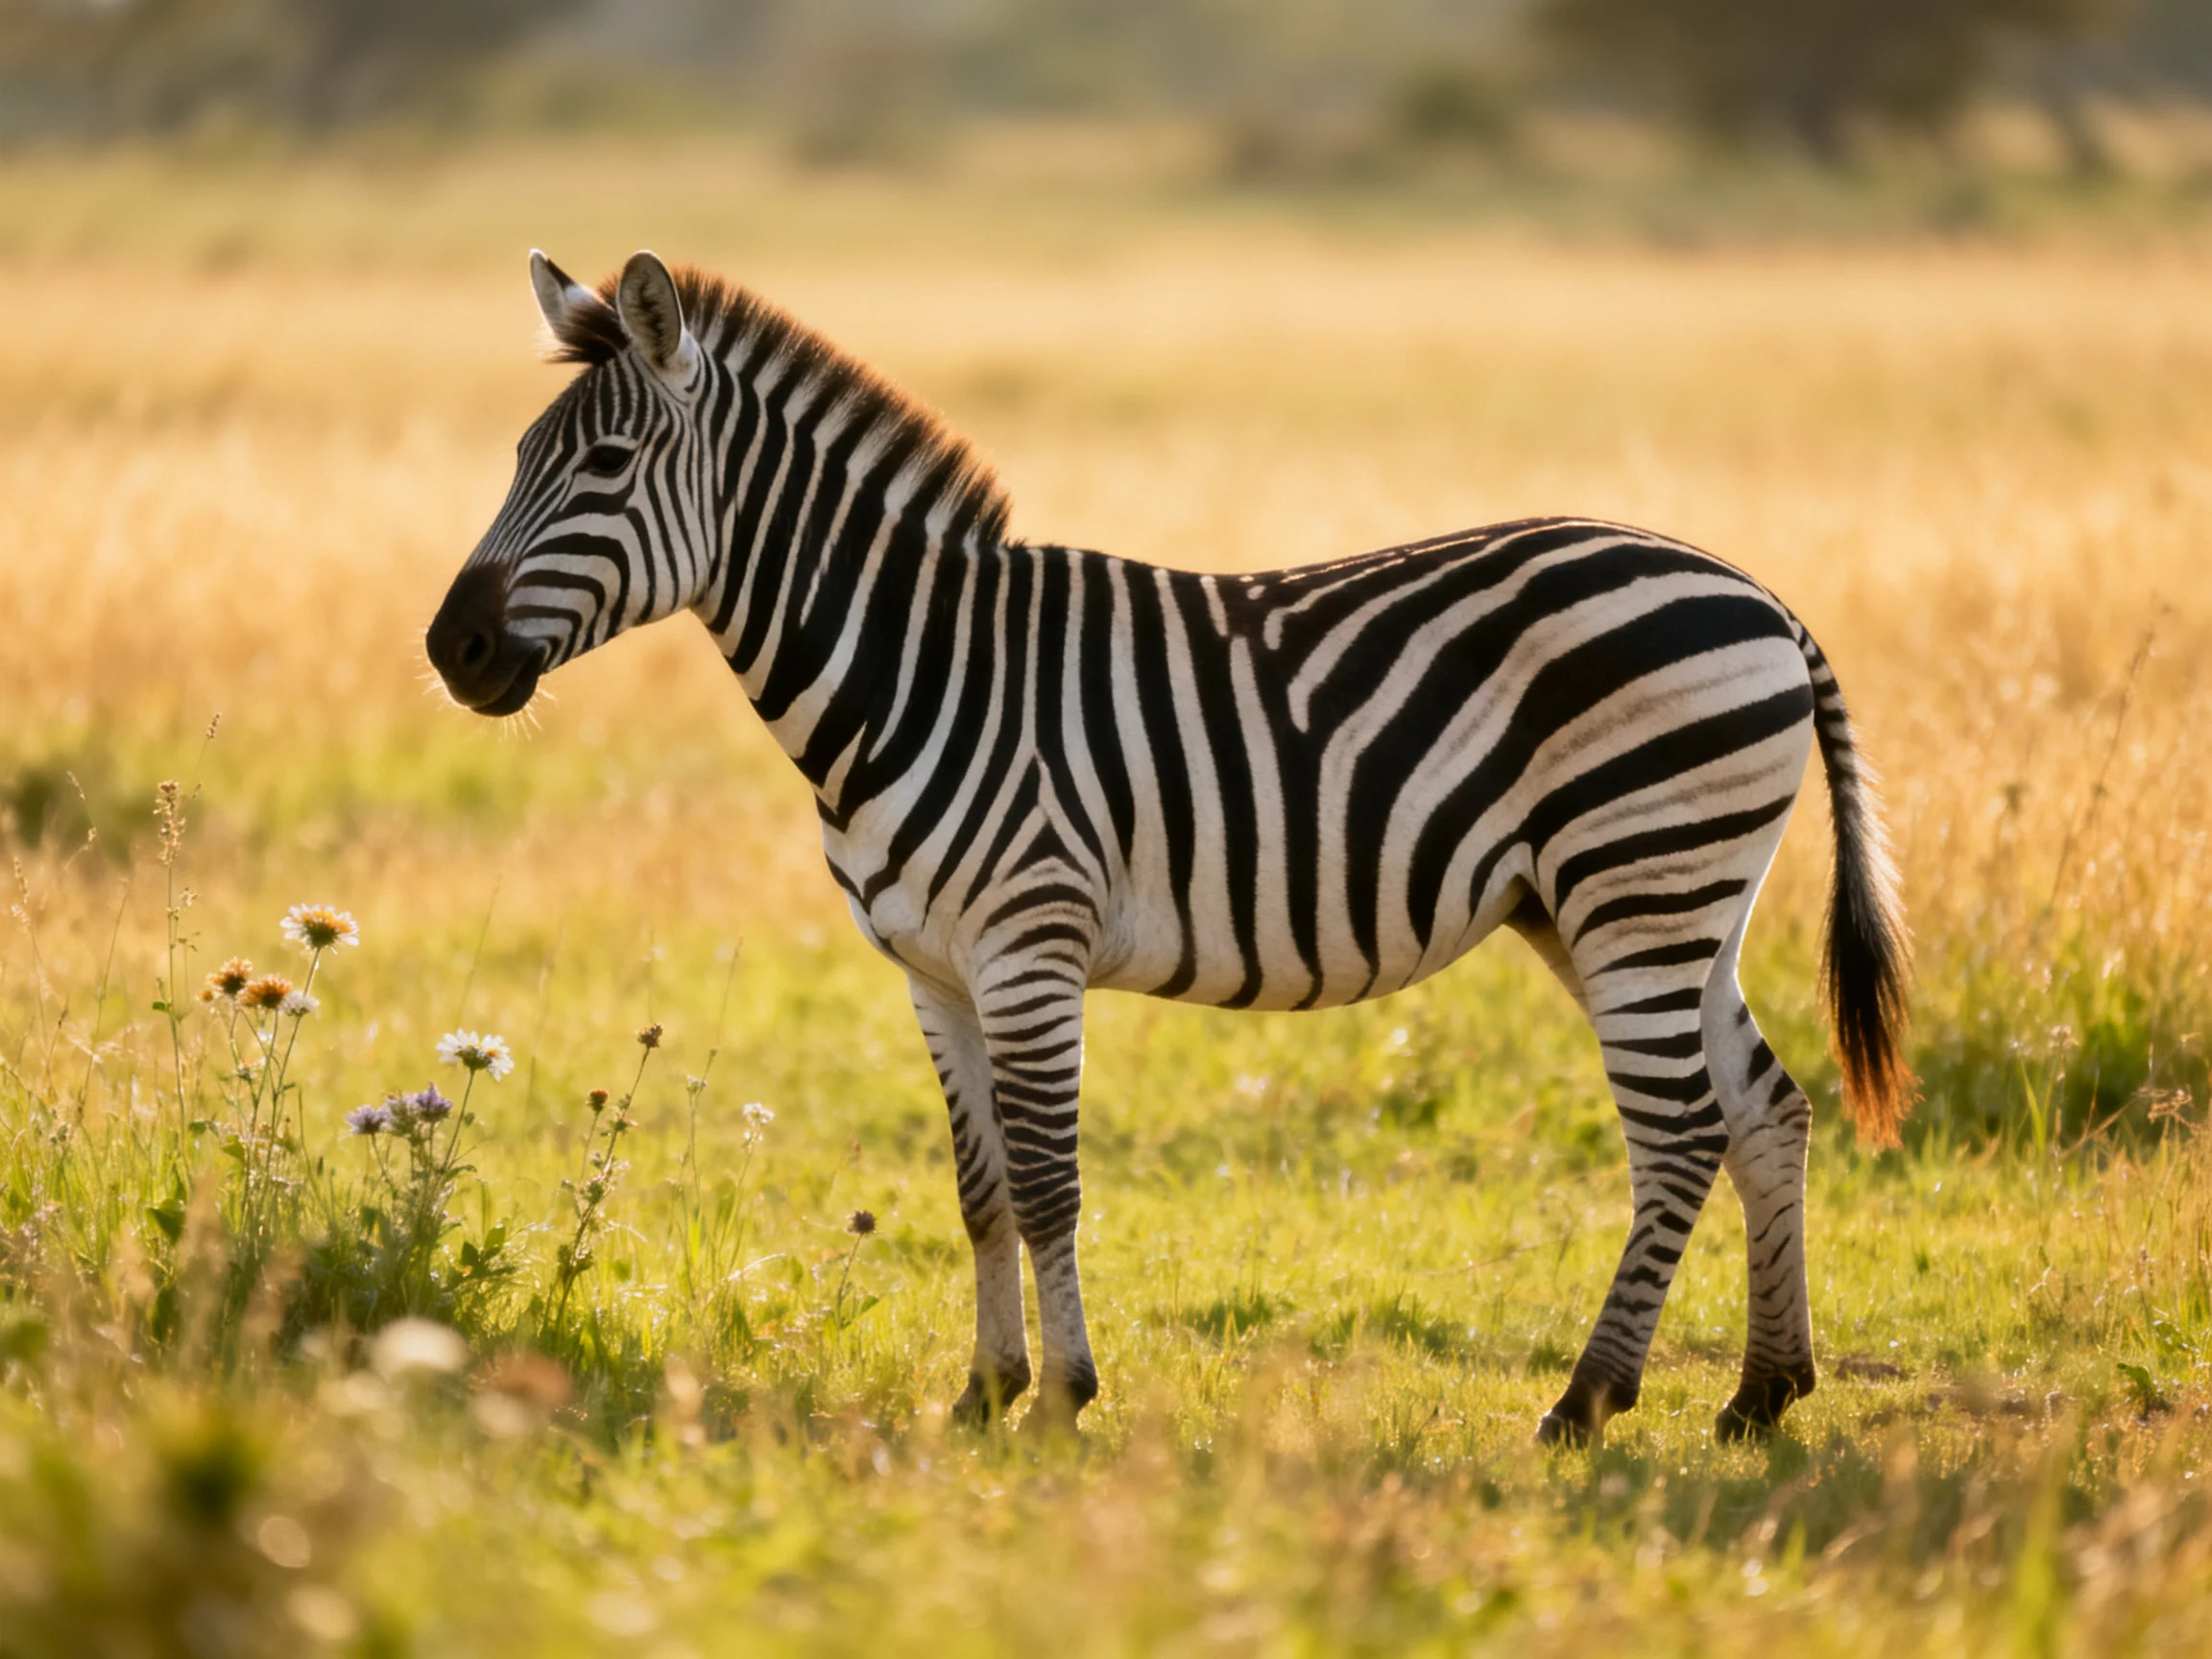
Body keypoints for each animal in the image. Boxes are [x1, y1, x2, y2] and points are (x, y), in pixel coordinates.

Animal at [427, 250, 1911, 1446]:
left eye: (605, 468)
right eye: (512, 462)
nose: (454, 651)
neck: (918, 671)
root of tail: (1758, 592)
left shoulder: (1029, 946)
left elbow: (1047, 1186)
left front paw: (1064, 1398)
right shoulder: (932, 971)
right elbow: (979, 1192)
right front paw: (983, 1394)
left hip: (1638, 886)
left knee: (1678, 1134)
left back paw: (1589, 1402)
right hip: (1649, 902)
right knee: (1765, 1108)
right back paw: (1762, 1393)